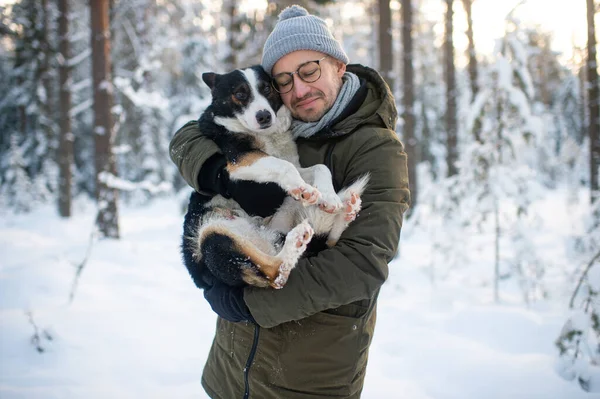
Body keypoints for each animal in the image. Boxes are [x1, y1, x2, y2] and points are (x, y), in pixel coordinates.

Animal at [180, 65, 368, 290]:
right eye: (240, 94)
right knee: (275, 273)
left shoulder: (295, 166)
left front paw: (328, 196)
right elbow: (285, 166)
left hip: (285, 210)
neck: (267, 135)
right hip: (213, 237)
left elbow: (320, 168)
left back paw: (348, 210)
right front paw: (304, 189)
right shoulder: (239, 160)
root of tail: (265, 236)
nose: (264, 116)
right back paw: (297, 239)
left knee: (325, 242)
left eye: (268, 89)